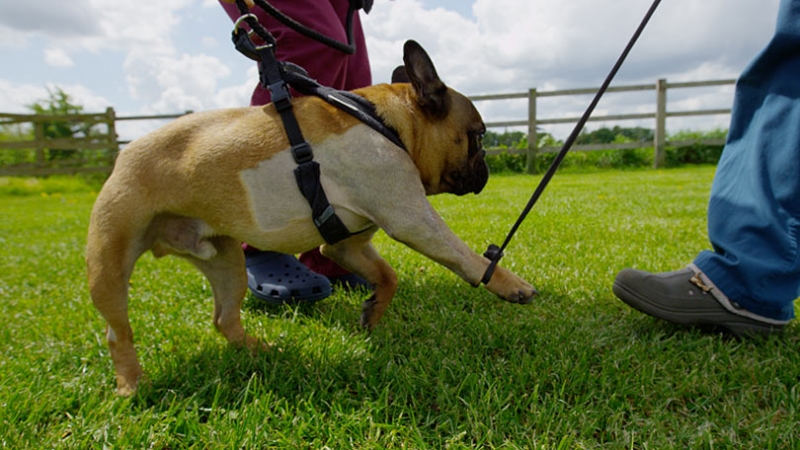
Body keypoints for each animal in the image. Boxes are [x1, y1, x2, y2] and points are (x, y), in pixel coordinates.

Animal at [86, 41, 536, 394]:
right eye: (478, 136)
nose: (486, 167)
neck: (389, 123)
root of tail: (123, 155)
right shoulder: (413, 218)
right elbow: (466, 257)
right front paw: (511, 284)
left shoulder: (345, 244)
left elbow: (387, 275)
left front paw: (373, 311)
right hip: (109, 265)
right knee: (117, 333)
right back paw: (132, 385)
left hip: (226, 262)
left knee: (224, 318)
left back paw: (259, 351)